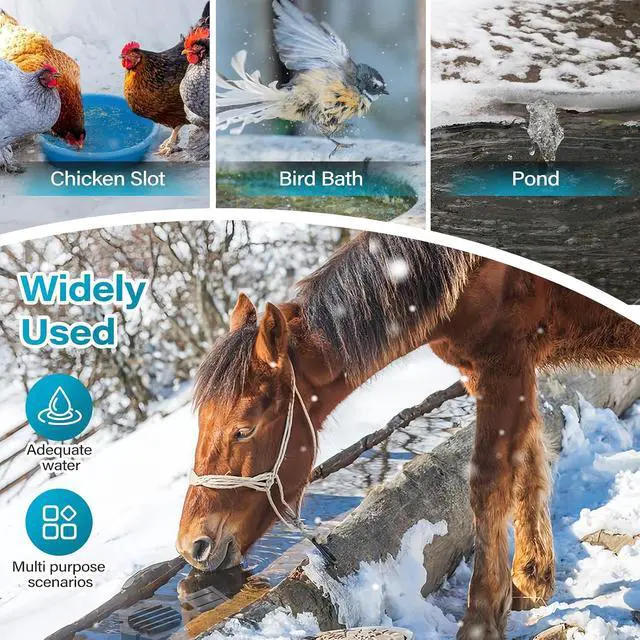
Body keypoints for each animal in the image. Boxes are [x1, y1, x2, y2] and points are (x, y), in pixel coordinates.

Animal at [177, 231, 640, 639]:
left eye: (243, 429)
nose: (191, 545)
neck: (468, 272)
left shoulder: (502, 367)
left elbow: (488, 485)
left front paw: (481, 620)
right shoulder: (507, 373)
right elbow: (528, 464)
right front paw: (530, 581)